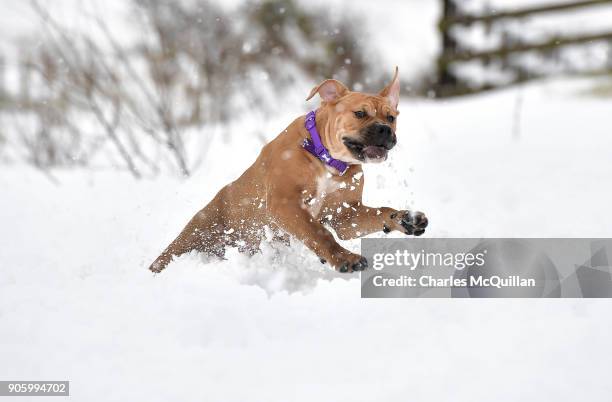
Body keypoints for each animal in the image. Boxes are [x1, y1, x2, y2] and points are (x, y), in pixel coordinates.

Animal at [151, 68, 428, 274]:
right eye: (360, 113)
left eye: (391, 117)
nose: (384, 129)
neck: (325, 158)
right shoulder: (285, 204)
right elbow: (319, 233)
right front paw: (344, 258)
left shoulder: (345, 215)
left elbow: (381, 212)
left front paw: (405, 218)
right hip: (198, 234)